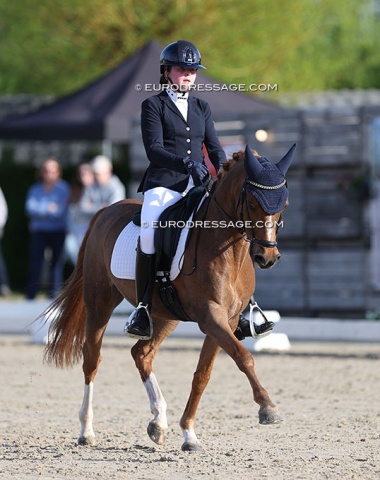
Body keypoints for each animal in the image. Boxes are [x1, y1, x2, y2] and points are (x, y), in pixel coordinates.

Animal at [43, 144, 294, 452]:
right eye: (254, 203)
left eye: (283, 205)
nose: (266, 257)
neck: (226, 248)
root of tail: (105, 211)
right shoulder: (211, 317)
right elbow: (243, 357)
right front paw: (267, 408)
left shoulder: (227, 319)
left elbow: (202, 375)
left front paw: (189, 434)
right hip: (99, 301)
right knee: (91, 359)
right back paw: (86, 431)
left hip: (164, 315)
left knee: (141, 354)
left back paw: (158, 422)